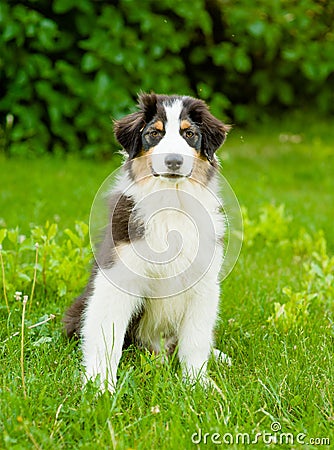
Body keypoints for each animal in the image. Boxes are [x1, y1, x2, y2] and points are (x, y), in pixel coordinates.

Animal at [64, 91, 232, 390]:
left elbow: (196, 338)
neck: (171, 202)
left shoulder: (204, 282)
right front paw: (100, 387)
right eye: (154, 133)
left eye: (190, 134)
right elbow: (107, 336)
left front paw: (198, 383)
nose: (174, 161)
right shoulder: (118, 277)